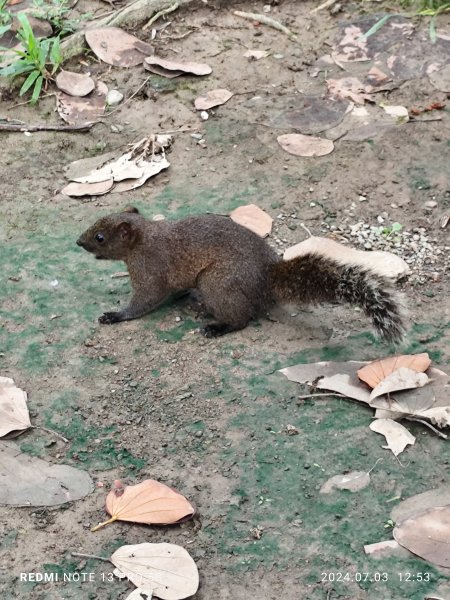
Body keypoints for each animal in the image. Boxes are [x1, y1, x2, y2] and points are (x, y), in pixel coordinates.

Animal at [76, 207, 404, 342]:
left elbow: (144, 301)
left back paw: (216, 327)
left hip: (217, 283)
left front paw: (115, 316)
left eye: (101, 237)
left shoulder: (150, 269)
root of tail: (268, 279)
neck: (144, 239)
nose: (78, 242)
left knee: (242, 319)